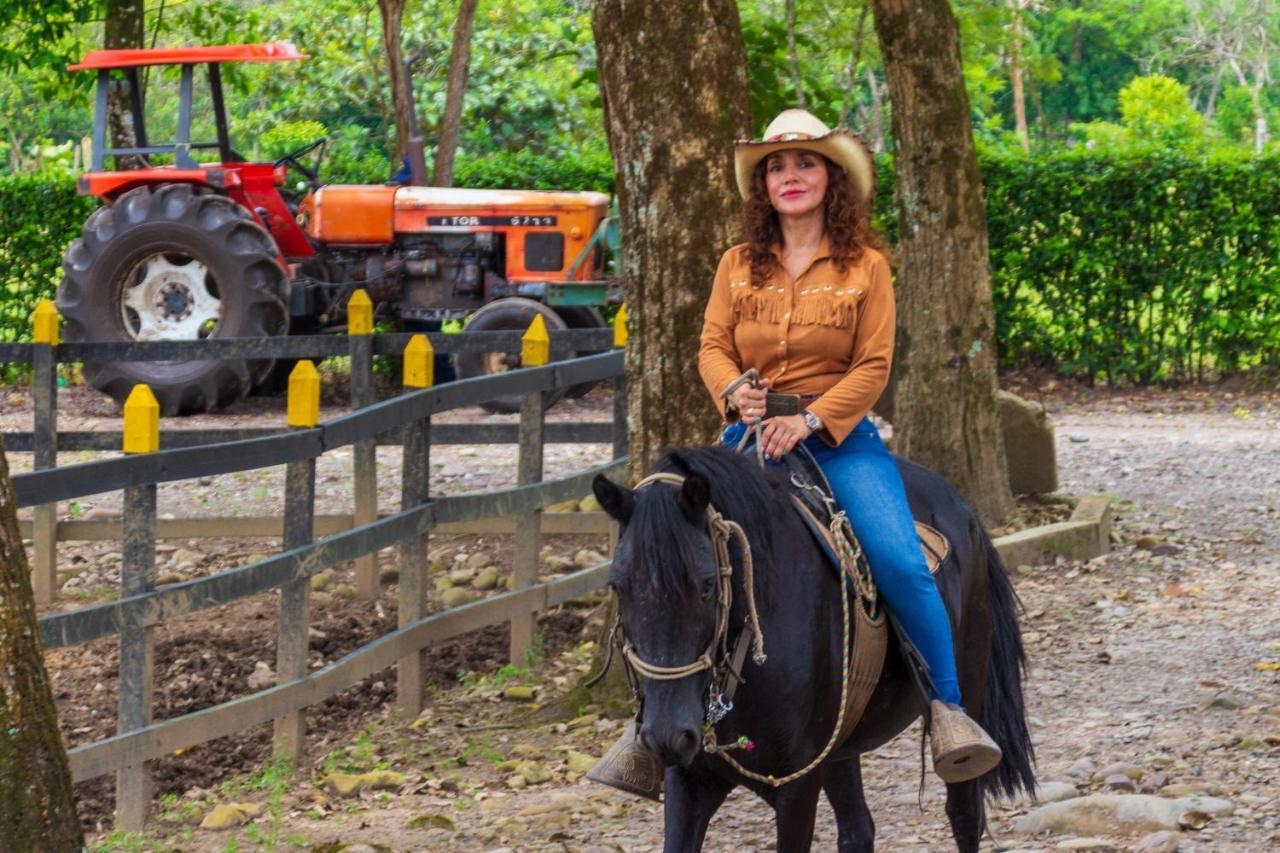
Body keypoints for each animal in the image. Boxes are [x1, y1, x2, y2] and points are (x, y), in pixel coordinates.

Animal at [593, 445, 1034, 850]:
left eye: (706, 585)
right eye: (618, 586)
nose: (666, 734)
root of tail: (962, 506)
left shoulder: (796, 785)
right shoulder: (689, 781)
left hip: (968, 696)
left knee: (964, 813)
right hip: (840, 744)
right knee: (858, 830)